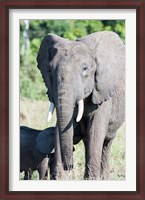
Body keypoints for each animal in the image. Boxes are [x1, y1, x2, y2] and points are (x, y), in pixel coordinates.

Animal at [36, 30, 125, 180]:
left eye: (84, 69)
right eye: (49, 71)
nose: (69, 166)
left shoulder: (102, 92)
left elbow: (95, 130)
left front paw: (92, 179)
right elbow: (60, 129)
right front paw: (59, 178)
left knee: (106, 142)